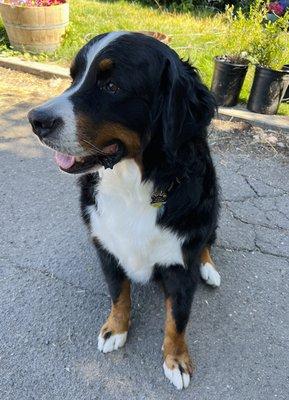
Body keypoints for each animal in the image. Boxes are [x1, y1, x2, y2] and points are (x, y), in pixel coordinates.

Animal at [28, 32, 219, 390]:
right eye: (74, 77)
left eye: (112, 86)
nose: (35, 120)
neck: (134, 186)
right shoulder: (107, 247)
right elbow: (119, 294)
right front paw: (115, 329)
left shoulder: (179, 262)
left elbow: (178, 318)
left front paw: (176, 359)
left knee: (207, 243)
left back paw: (209, 268)